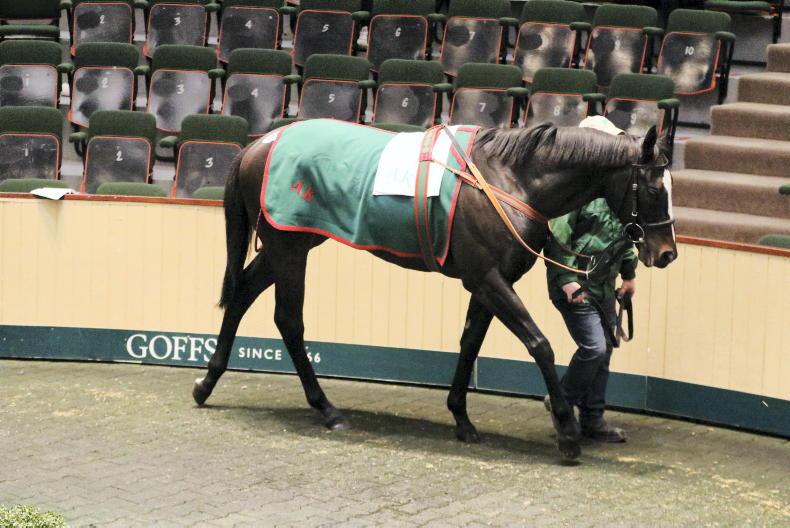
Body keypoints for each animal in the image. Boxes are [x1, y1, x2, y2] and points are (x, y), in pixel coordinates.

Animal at [192, 121, 677, 460]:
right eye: (655, 188)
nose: (667, 252)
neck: (508, 181)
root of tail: (260, 144)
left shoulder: (487, 283)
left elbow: (470, 343)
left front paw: (462, 418)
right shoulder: (488, 279)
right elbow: (539, 344)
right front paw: (567, 433)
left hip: (292, 243)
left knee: (243, 294)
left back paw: (206, 384)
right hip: (288, 246)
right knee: (289, 320)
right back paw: (326, 409)